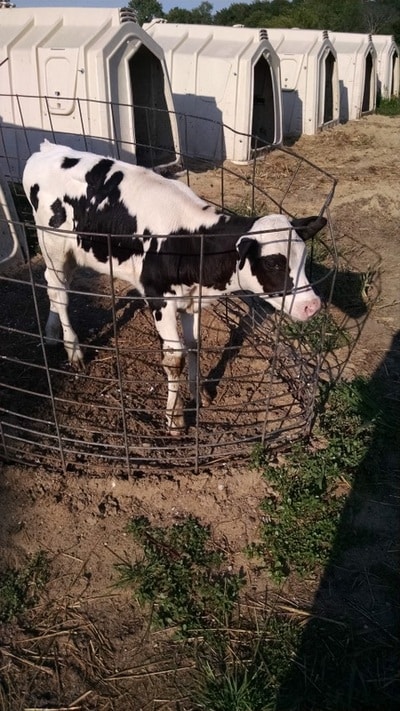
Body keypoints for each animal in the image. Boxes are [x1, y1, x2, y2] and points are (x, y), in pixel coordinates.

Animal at [22, 142, 324, 434]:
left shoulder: (192, 301)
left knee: (53, 288)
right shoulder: (160, 300)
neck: (189, 241)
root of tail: (47, 149)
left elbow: (194, 346)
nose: (312, 305)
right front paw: (175, 417)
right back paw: (73, 350)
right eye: (273, 263)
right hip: (53, 246)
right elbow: (174, 359)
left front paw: (198, 393)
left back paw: (51, 333)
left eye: (303, 256)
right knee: (59, 293)